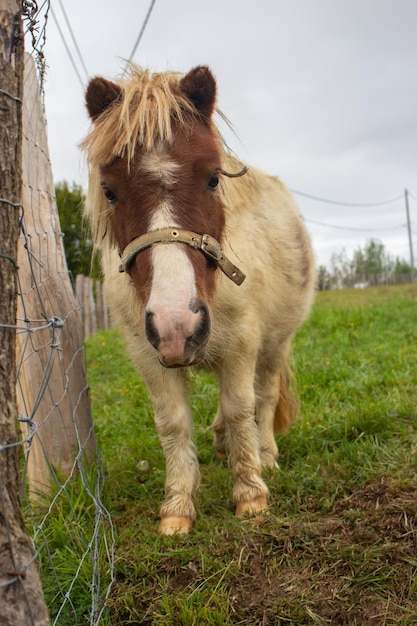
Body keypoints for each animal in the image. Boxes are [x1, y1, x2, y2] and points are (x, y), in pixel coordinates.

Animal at [80, 62, 316, 532]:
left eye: (212, 178)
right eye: (110, 191)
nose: (178, 324)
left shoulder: (242, 343)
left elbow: (242, 407)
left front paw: (251, 495)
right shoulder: (148, 353)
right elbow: (172, 424)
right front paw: (177, 507)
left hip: (275, 345)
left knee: (263, 398)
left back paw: (265, 453)